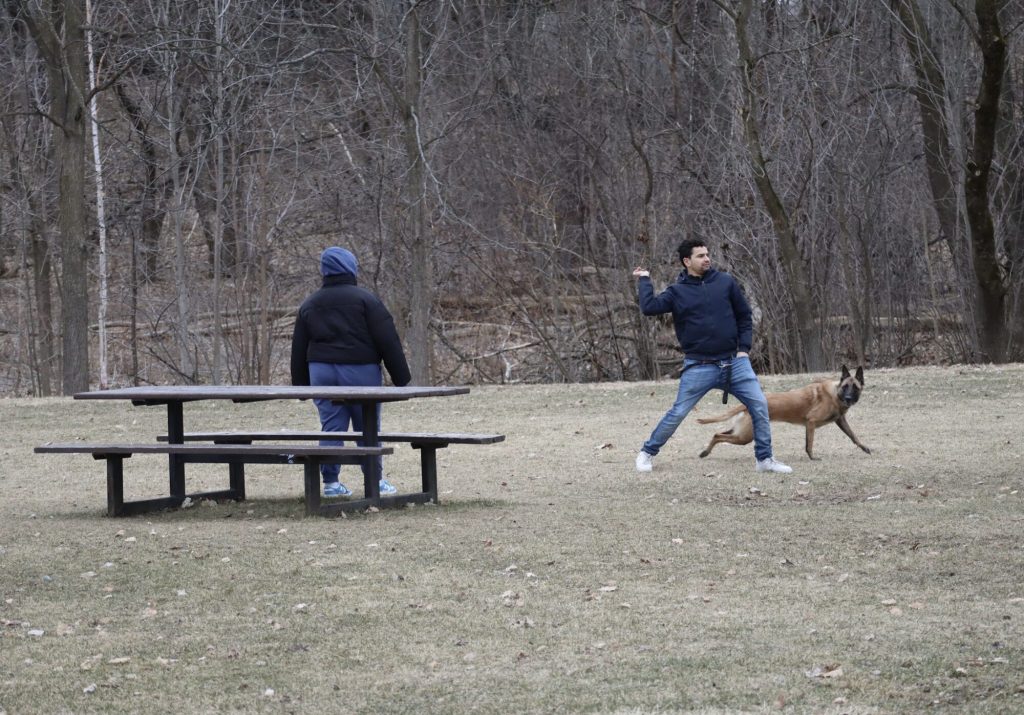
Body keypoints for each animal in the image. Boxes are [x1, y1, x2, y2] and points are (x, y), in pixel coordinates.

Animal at [696, 364, 872, 458]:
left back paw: (705, 451)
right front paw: (812, 457)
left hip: (740, 432)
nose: (848, 398)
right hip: (745, 436)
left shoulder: (840, 420)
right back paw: (705, 452)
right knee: (718, 436)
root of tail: (746, 404)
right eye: (845, 387)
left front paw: (864, 447)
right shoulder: (811, 421)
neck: (835, 393)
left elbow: (853, 436)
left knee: (716, 434)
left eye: (855, 388)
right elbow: (809, 444)